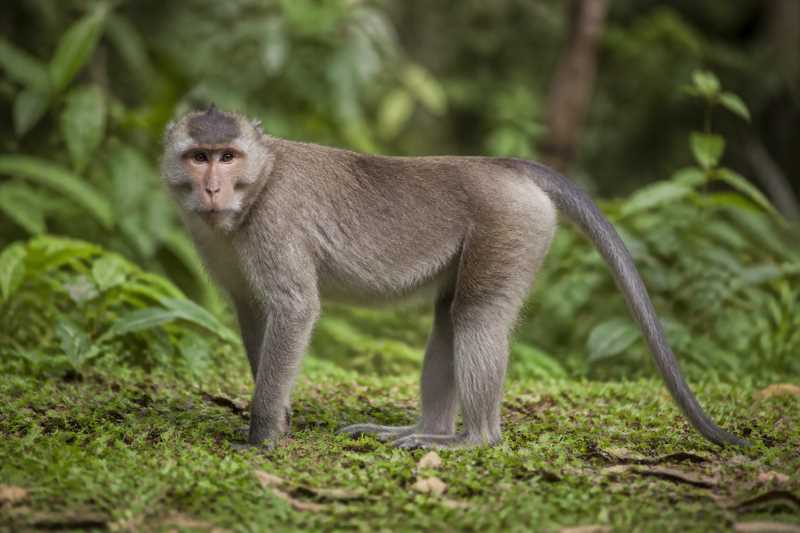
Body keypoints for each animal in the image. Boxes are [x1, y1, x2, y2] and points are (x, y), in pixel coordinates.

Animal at [160, 105, 747, 449]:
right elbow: (253, 312)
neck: (257, 186)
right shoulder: (215, 242)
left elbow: (294, 308)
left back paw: (470, 440)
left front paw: (260, 438)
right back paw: (425, 430)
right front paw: (277, 419)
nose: (211, 189)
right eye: (199, 157)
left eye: (228, 157)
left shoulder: (277, 222)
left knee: (475, 317)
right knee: (447, 320)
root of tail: (507, 166)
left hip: (511, 226)